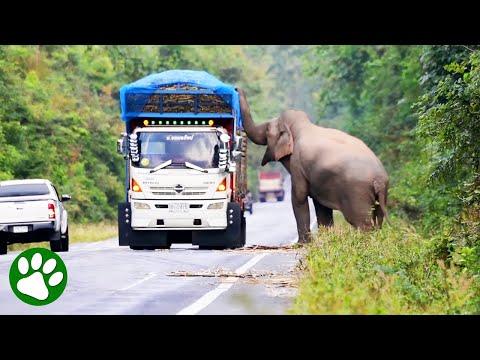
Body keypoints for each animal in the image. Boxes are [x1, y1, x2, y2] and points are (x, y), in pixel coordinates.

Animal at [237, 88, 390, 243]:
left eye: (268, 130)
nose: (237, 89)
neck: (302, 126)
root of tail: (379, 178)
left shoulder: (297, 164)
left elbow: (299, 197)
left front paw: (302, 243)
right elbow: (321, 206)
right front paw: (326, 239)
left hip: (357, 192)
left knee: (362, 222)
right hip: (379, 194)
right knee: (378, 219)